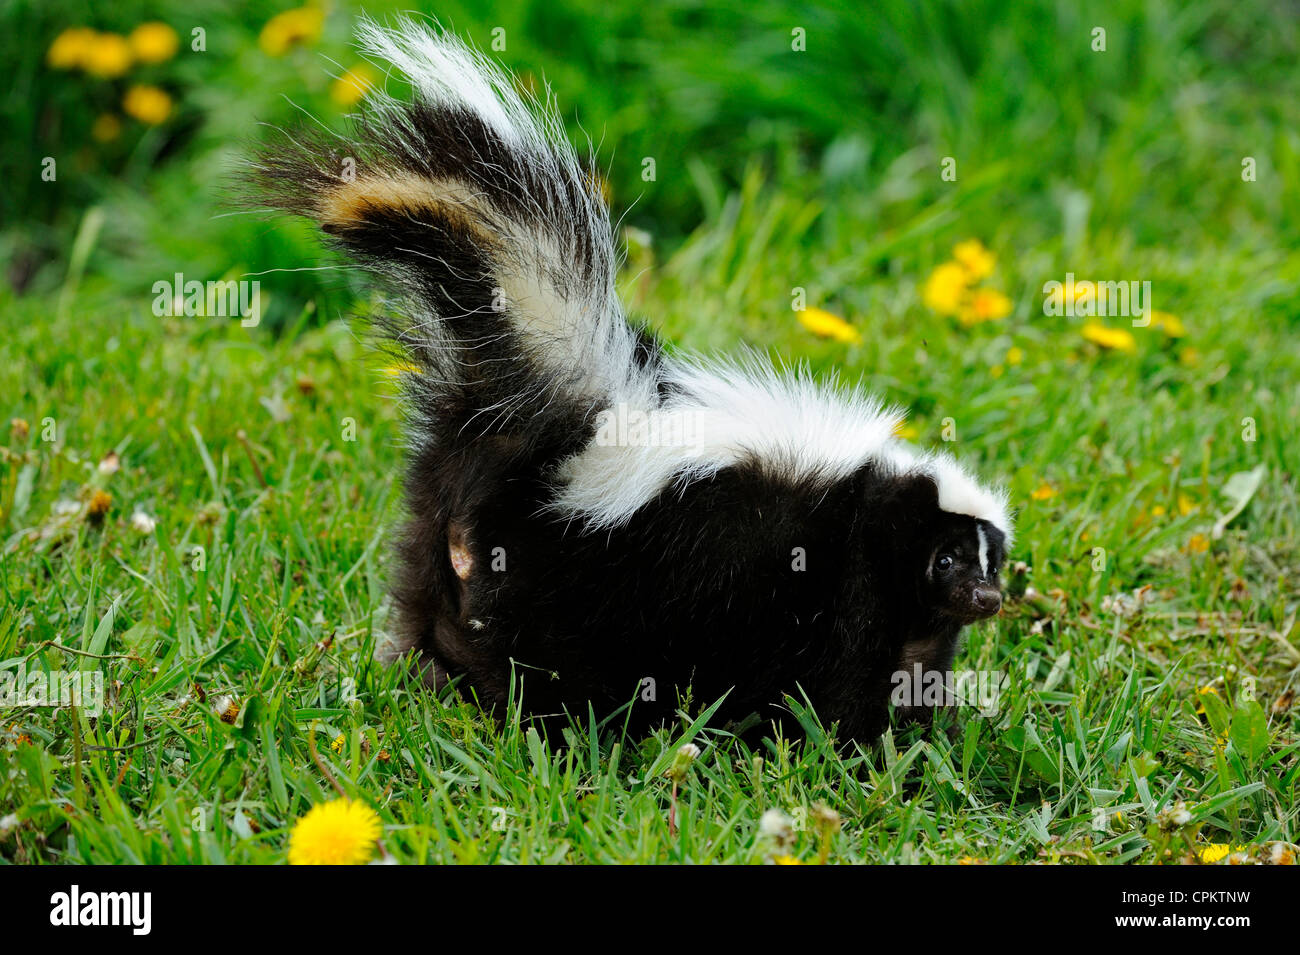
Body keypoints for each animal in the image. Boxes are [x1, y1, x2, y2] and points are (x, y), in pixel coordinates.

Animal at [253, 18, 1013, 743]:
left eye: (993, 561)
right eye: (948, 559)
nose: (989, 599)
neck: (874, 497)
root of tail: (529, 442)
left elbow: (909, 673)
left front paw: (928, 736)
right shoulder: (843, 582)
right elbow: (842, 681)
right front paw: (852, 750)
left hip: (432, 549)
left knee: (428, 619)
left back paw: (426, 689)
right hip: (562, 582)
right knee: (535, 664)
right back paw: (548, 730)